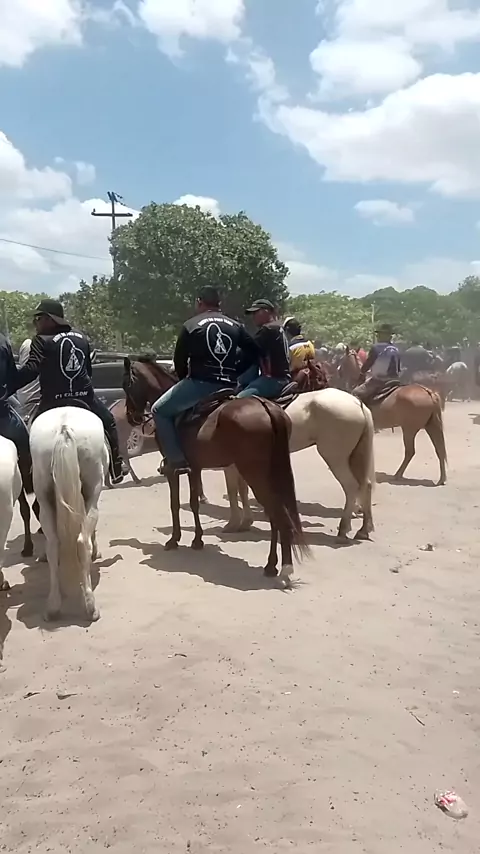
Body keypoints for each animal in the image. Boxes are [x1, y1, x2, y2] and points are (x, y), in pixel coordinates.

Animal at [30, 407, 108, 621]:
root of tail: (63, 428)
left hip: (44, 495)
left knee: (53, 544)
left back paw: (53, 607)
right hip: (93, 486)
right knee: (82, 541)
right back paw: (90, 607)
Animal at [123, 357, 309, 585]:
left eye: (127, 385)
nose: (132, 417)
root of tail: (265, 406)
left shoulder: (172, 470)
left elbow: (175, 504)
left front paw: (174, 540)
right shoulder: (194, 468)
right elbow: (194, 503)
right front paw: (197, 540)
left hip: (255, 475)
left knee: (278, 515)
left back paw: (284, 569)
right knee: (275, 516)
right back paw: (272, 566)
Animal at [123, 359, 375, 543]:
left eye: (127, 385)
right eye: (319, 376)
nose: (132, 417)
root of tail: (357, 403)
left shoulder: (229, 464)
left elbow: (234, 490)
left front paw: (234, 523)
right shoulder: (238, 463)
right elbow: (242, 490)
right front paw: (245, 521)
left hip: (334, 456)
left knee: (352, 486)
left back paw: (344, 528)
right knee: (366, 484)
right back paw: (363, 527)